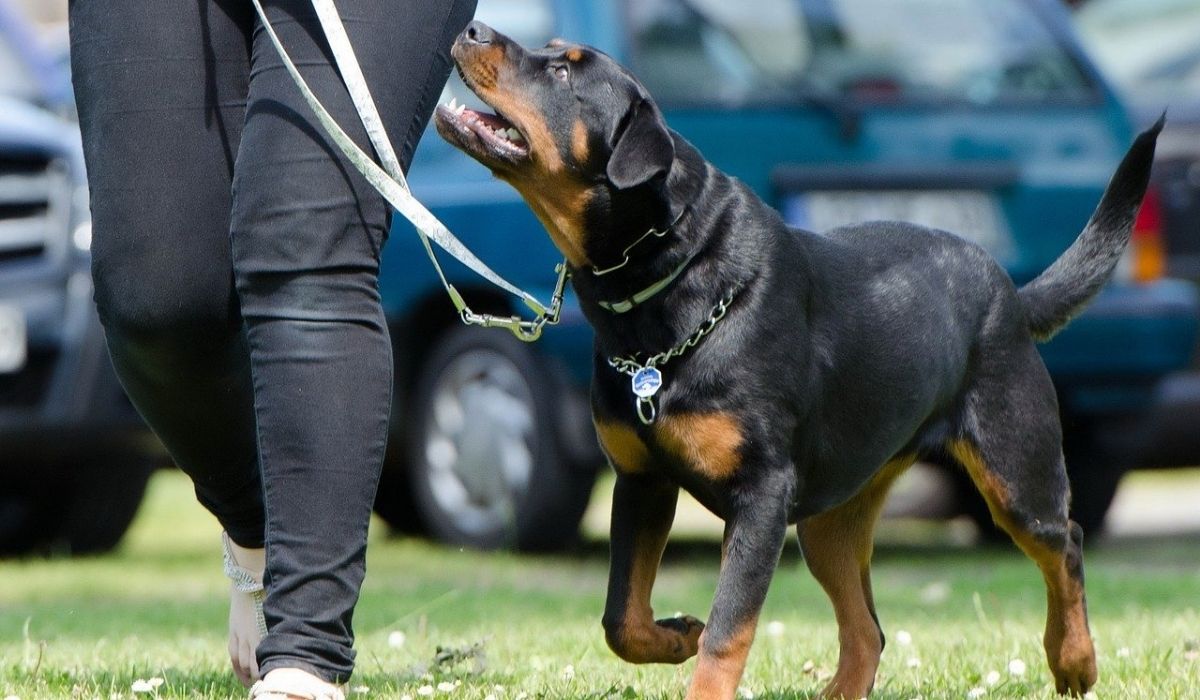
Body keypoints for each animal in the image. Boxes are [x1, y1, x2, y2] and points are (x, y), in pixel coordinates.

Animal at [434, 19, 1161, 700]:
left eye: (562, 71)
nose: (471, 27)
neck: (666, 280)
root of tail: (1011, 291)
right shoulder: (641, 480)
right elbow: (622, 619)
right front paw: (676, 635)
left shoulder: (761, 496)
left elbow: (728, 631)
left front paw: (700, 654)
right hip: (830, 518)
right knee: (867, 628)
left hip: (1015, 465)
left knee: (1063, 544)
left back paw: (1074, 660)